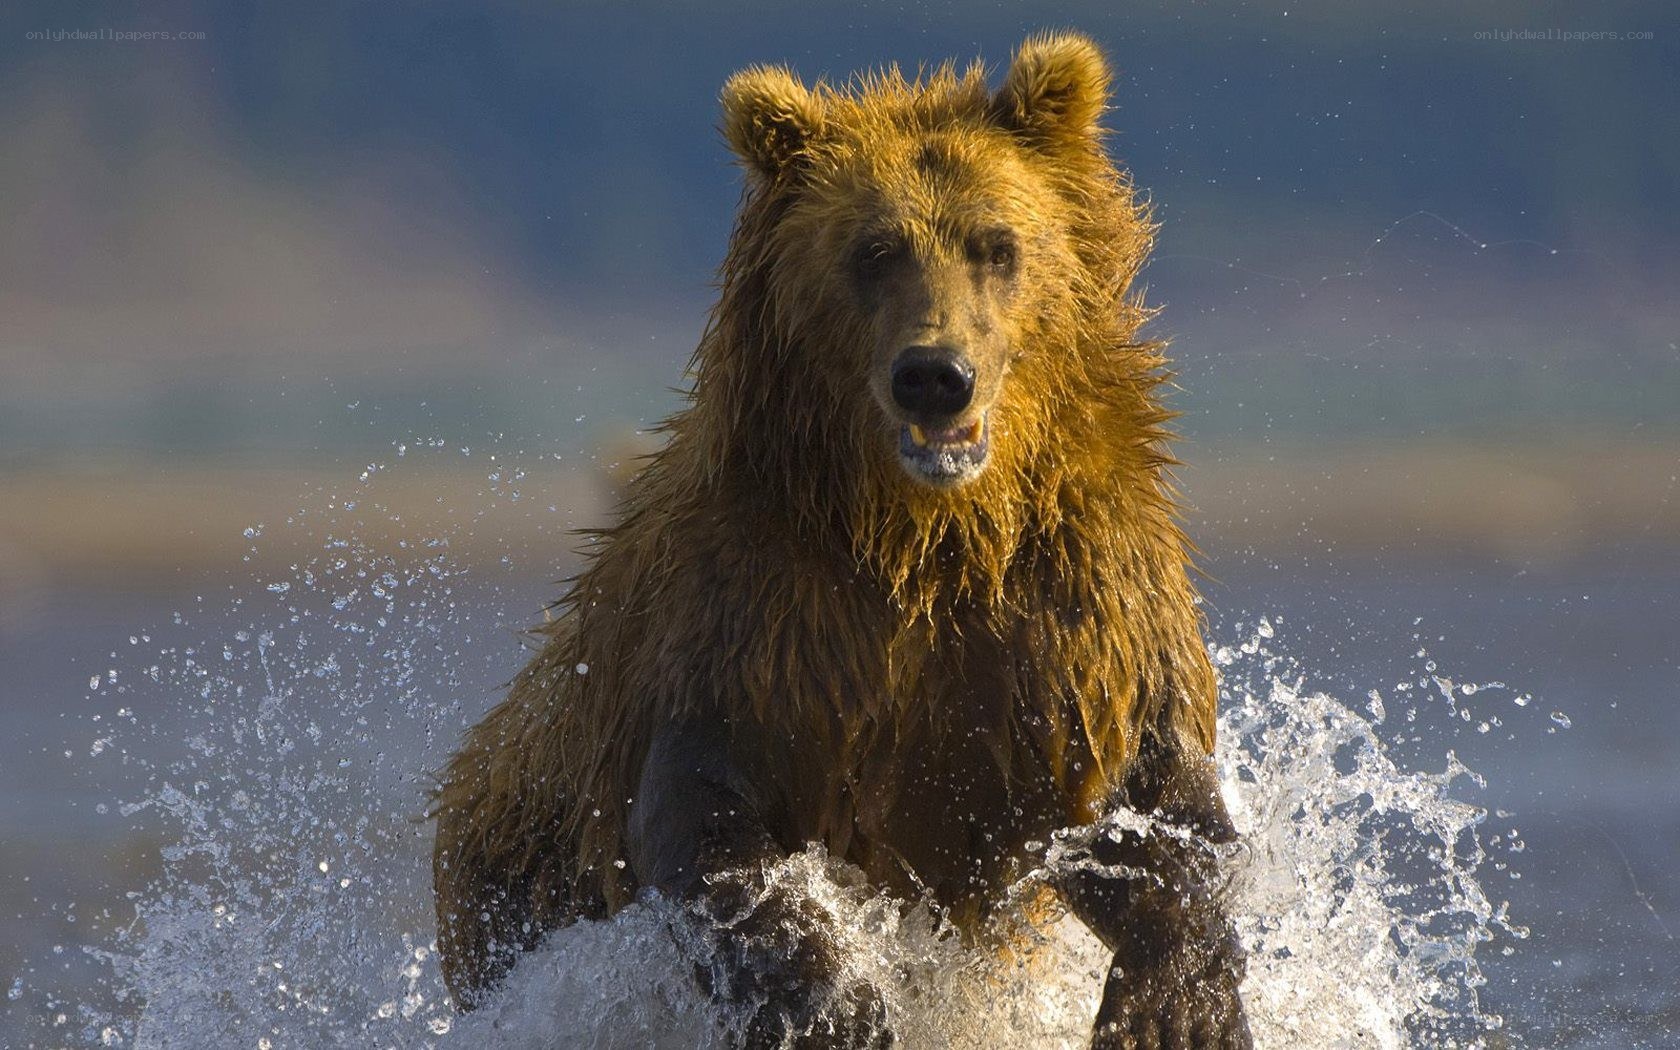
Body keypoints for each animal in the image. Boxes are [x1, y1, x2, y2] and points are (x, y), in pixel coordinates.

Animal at [433, 32, 1251, 1049]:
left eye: (998, 245)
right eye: (874, 250)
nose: (935, 374)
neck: (927, 535)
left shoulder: (1072, 604)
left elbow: (1154, 812)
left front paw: (1173, 1008)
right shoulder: (755, 619)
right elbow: (711, 831)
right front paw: (838, 1006)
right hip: (517, 872)